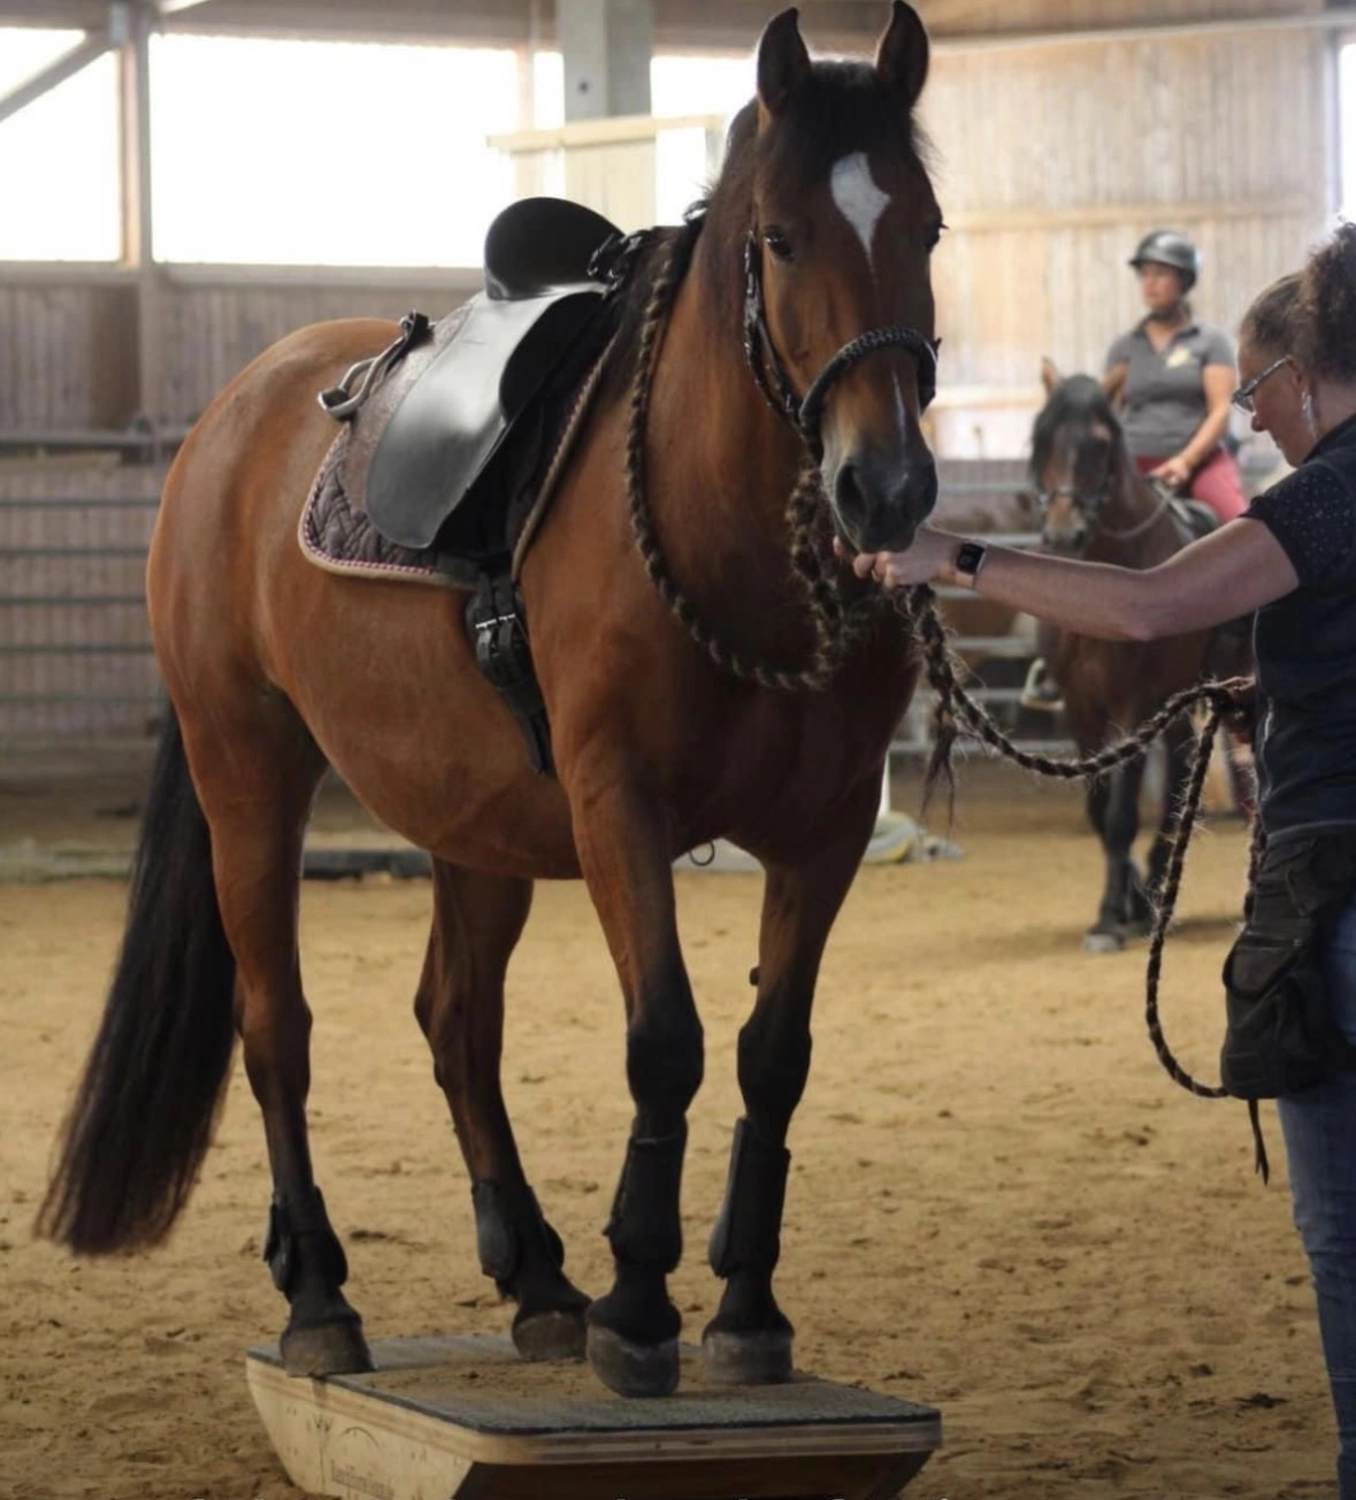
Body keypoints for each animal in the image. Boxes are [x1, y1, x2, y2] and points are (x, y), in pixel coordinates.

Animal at [38, 4, 944, 1402]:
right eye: (784, 238)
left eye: (930, 231)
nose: (885, 489)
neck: (721, 532)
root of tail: (228, 420)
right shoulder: (618, 801)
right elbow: (666, 1040)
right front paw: (642, 1306)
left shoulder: (828, 827)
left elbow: (771, 1056)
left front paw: (744, 1308)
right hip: (247, 770)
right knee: (276, 1026)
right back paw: (321, 1294)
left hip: (473, 817)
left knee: (456, 1022)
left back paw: (536, 1276)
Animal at [1026, 361, 1251, 953]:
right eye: (1040, 439)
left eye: (1100, 444)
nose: (1064, 534)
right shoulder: (1081, 707)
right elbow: (1099, 808)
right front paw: (1121, 901)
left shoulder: (1133, 704)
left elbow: (1123, 812)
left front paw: (1111, 917)